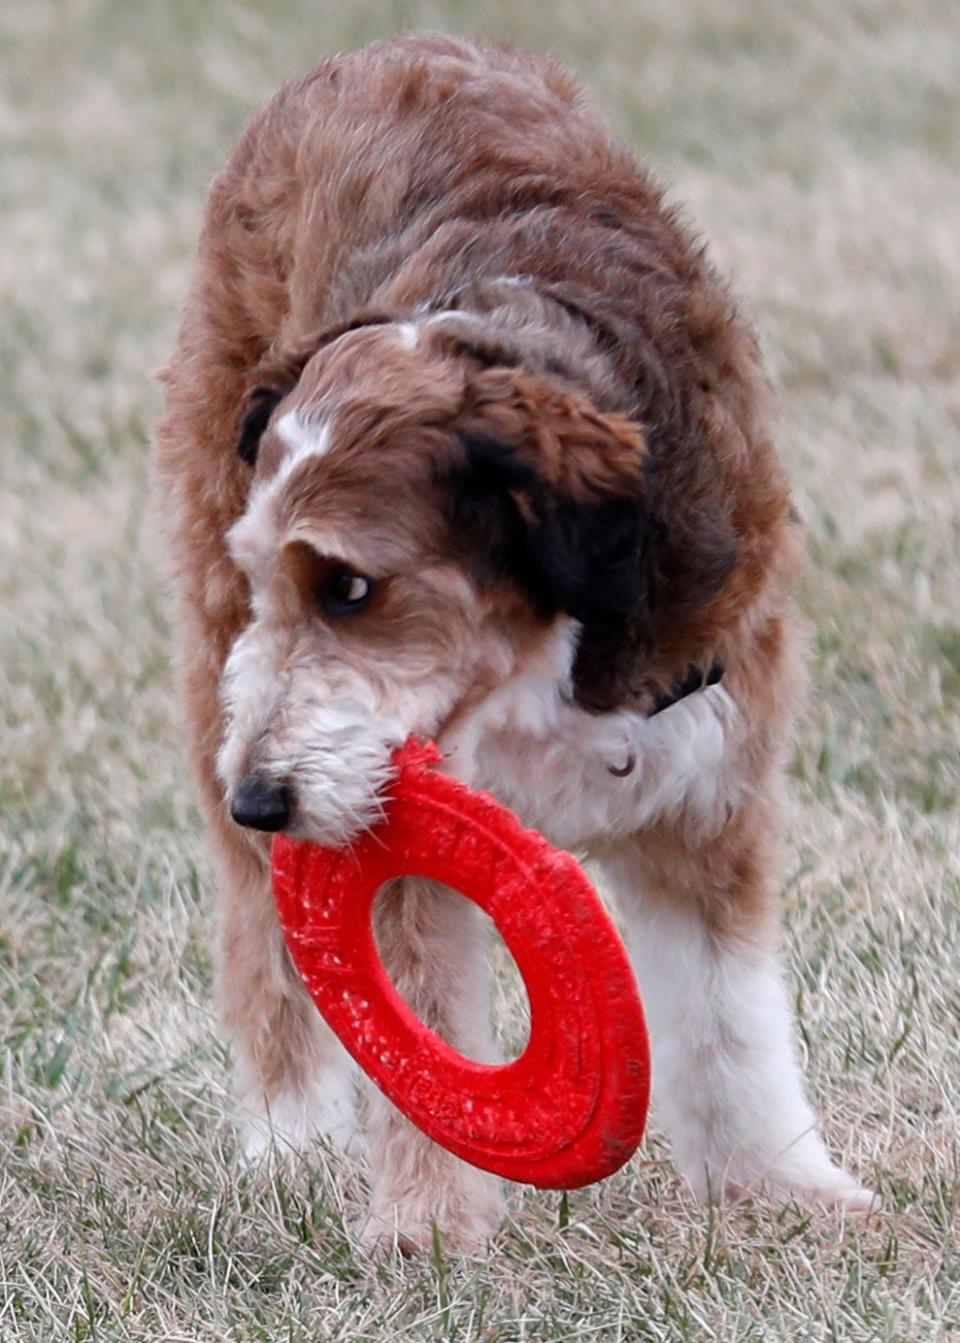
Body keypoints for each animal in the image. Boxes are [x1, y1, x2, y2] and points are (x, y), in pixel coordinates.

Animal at [153, 31, 875, 1246]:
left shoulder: (711, 781)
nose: (262, 800)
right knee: (261, 929)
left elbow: (727, 1014)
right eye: (274, 582)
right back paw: (288, 1138)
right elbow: (422, 1031)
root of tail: (384, 45)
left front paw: (779, 1191)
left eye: (350, 586)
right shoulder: (393, 819)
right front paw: (427, 1232)